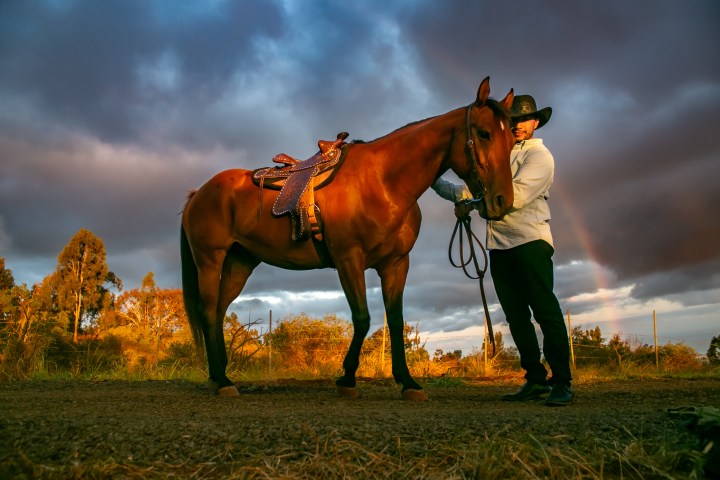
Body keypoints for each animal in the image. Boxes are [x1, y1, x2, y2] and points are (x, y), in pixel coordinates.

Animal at [181, 77, 515, 400]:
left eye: (512, 139)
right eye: (484, 133)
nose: (502, 201)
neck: (383, 182)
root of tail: (199, 192)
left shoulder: (395, 264)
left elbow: (395, 320)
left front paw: (408, 382)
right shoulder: (349, 259)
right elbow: (362, 317)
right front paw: (347, 379)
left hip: (241, 261)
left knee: (220, 310)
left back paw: (219, 374)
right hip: (210, 260)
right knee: (208, 310)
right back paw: (222, 380)